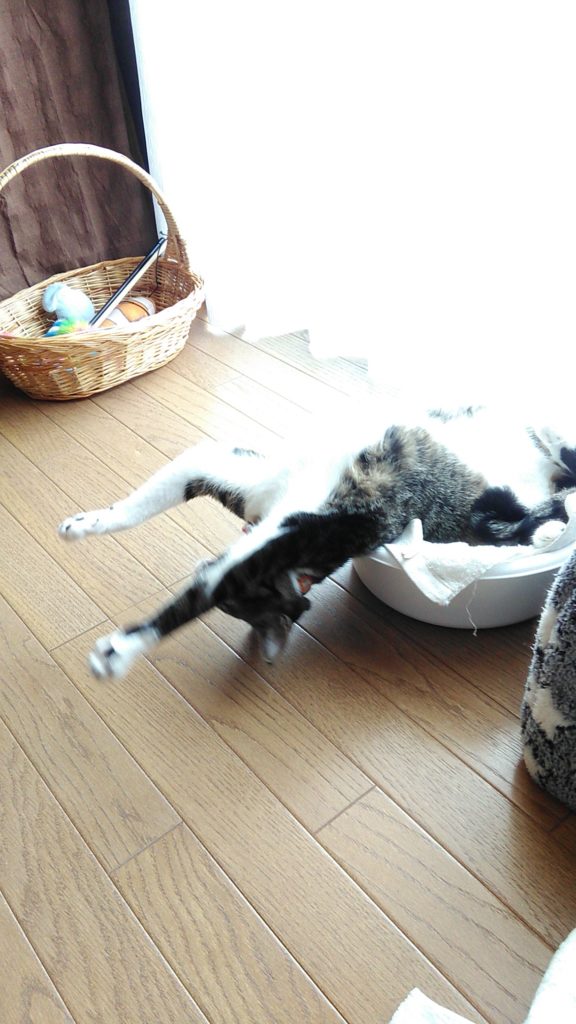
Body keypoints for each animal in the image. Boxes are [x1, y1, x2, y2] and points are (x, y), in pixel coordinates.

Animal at [58, 402, 576, 678]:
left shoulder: (295, 532)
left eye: (245, 606)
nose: (200, 564)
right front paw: (86, 523)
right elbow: (140, 505)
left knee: (549, 504)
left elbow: (199, 598)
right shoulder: (234, 470)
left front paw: (123, 649)